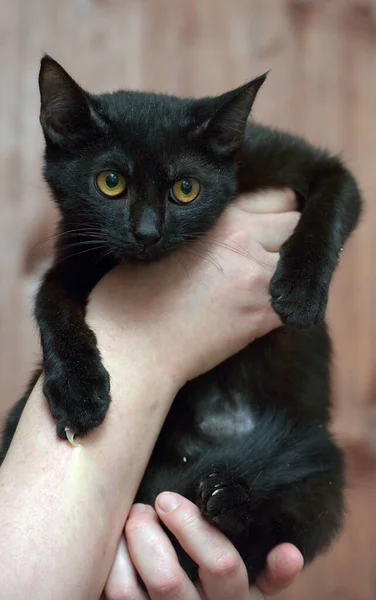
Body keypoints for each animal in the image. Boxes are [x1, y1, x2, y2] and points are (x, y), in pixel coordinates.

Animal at [1, 57, 362, 584]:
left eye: (185, 189)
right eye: (110, 182)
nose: (147, 233)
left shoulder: (292, 158)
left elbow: (331, 205)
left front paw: (298, 293)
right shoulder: (76, 252)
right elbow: (48, 300)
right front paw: (77, 391)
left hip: (321, 466)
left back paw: (228, 495)